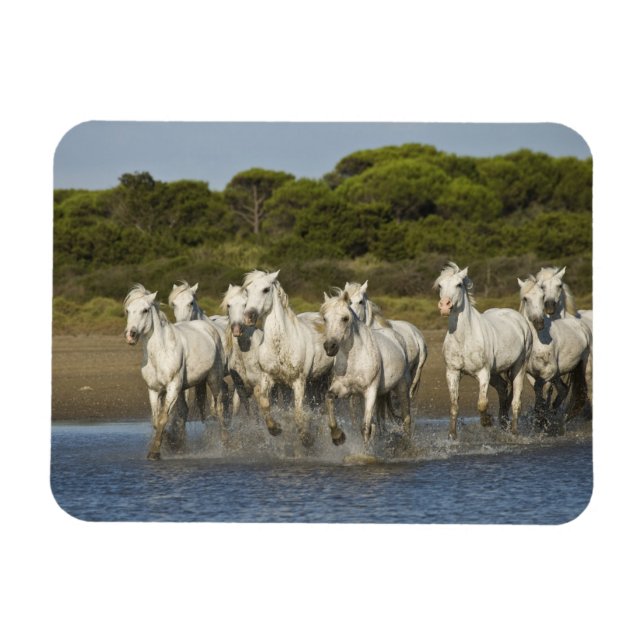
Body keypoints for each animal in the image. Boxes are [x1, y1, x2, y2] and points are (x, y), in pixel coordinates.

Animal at [124, 284, 227, 459]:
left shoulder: (172, 387)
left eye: (145, 310)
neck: (160, 352)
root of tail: (209, 329)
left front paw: (155, 452)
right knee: (184, 412)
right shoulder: (154, 390)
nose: (131, 335)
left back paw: (225, 443)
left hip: (214, 379)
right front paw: (172, 442)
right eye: (128, 310)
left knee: (219, 409)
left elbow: (163, 418)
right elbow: (156, 420)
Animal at [242, 269, 334, 446]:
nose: (248, 316)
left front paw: (306, 438)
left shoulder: (298, 382)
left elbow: (298, 413)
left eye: (265, 289)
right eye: (247, 291)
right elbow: (263, 402)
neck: (281, 344)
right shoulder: (268, 378)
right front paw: (275, 428)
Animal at [320, 288, 412, 446]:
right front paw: (338, 436)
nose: (330, 347)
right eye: (325, 318)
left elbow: (365, 428)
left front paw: (366, 450)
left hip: (402, 386)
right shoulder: (344, 389)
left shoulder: (370, 391)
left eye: (345, 318)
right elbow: (329, 397)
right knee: (380, 422)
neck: (355, 359)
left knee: (406, 418)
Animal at [434, 262, 532, 440]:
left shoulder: (483, 372)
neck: (464, 338)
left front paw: (486, 422)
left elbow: (481, 403)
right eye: (440, 285)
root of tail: (519, 319)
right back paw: (503, 422)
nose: (445, 305)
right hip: (495, 373)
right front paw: (452, 436)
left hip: (519, 367)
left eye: (459, 284)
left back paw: (513, 432)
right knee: (503, 389)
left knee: (516, 401)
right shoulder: (452, 372)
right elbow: (454, 406)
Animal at [518, 276, 593, 430]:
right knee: (563, 390)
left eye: (542, 296)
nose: (539, 323)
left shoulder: (548, 372)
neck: (537, 342)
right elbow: (539, 391)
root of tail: (582, 325)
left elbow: (540, 388)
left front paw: (541, 418)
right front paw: (541, 420)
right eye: (525, 298)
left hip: (585, 368)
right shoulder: (531, 373)